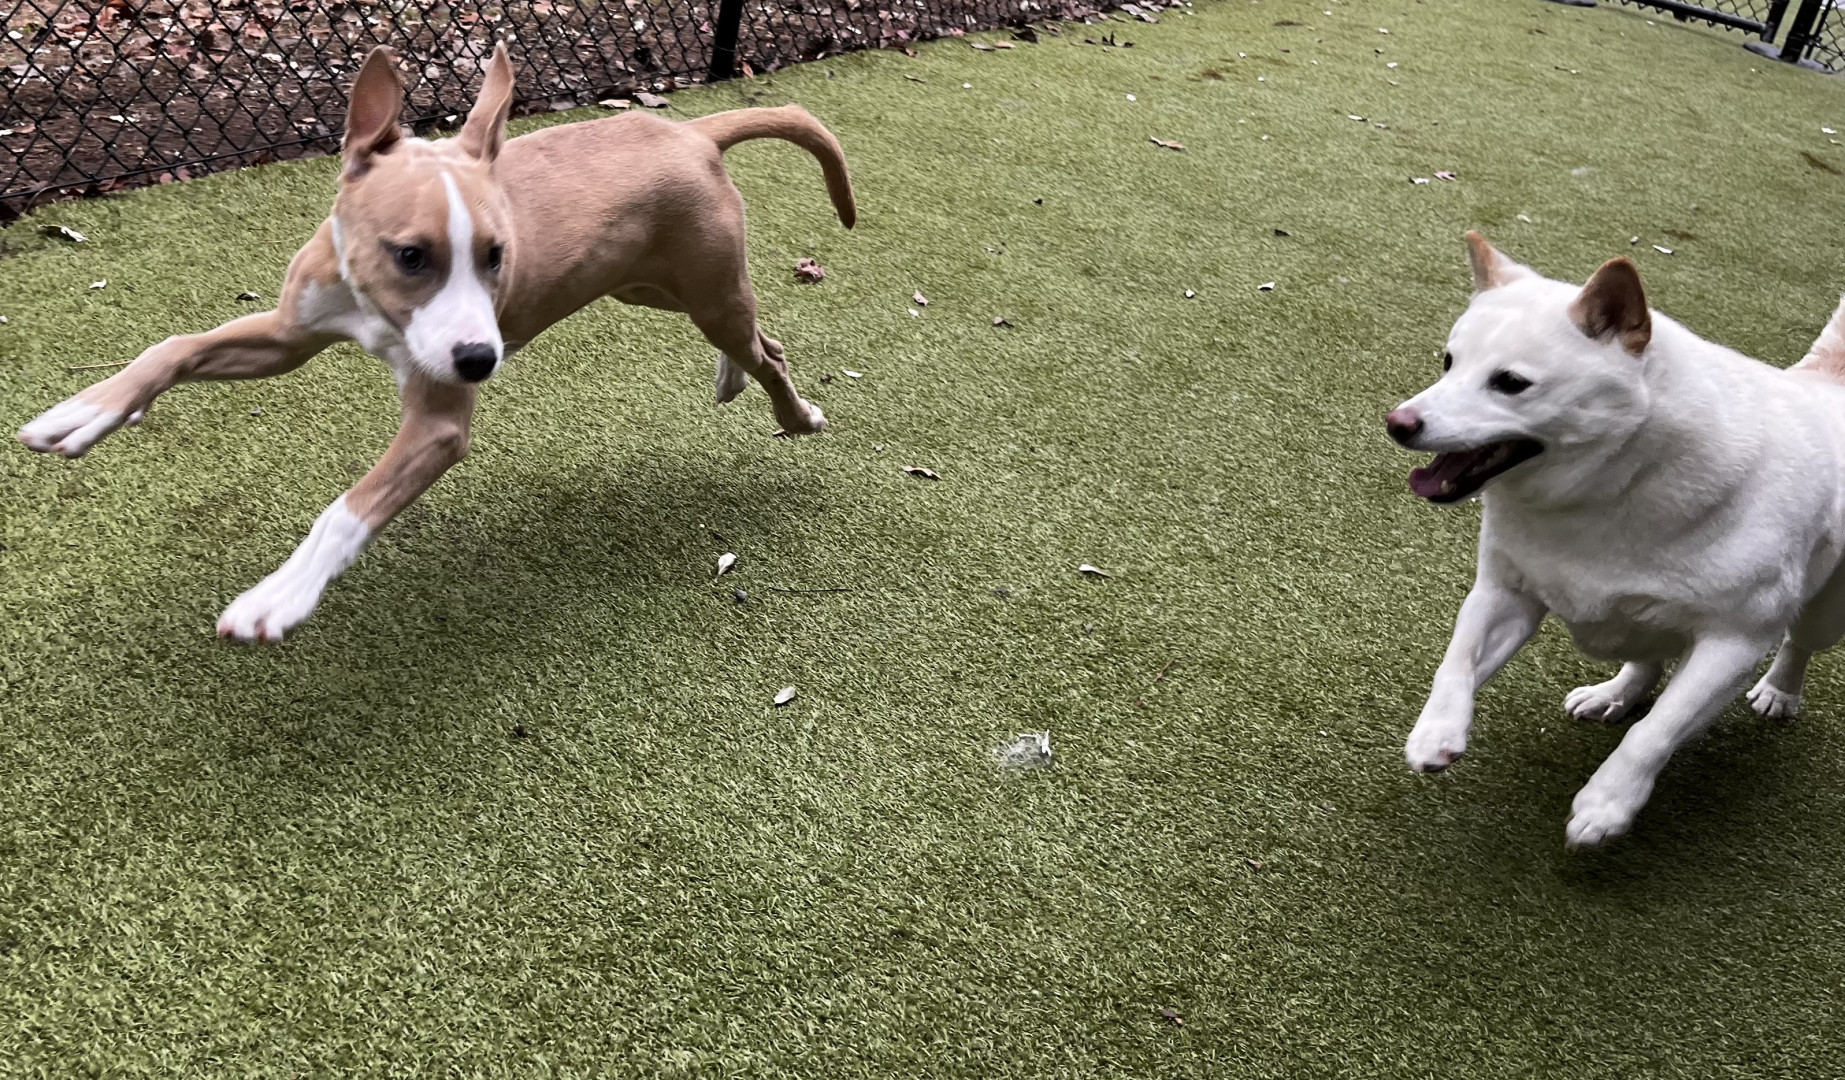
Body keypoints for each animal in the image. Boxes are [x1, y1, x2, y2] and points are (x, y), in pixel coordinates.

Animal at [17, 44, 854, 642]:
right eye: (410, 255)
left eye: (497, 254)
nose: (482, 361)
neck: (375, 311)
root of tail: (690, 130)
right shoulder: (287, 335)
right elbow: (173, 345)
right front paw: (82, 413)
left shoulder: (436, 426)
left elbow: (346, 510)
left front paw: (279, 595)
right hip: (645, 283)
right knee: (752, 334)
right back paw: (731, 378)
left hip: (700, 285)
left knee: (767, 350)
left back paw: (795, 414)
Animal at [1387, 232, 1845, 847]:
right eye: (1448, 362)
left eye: (1510, 383)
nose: (1399, 423)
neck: (1611, 488)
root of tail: (1825, 383)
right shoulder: (1505, 593)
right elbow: (1456, 660)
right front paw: (1437, 730)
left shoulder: (1733, 643)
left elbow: (1656, 731)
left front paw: (1608, 803)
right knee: (1646, 657)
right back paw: (1615, 694)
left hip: (1825, 611)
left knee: (1799, 640)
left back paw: (1780, 690)